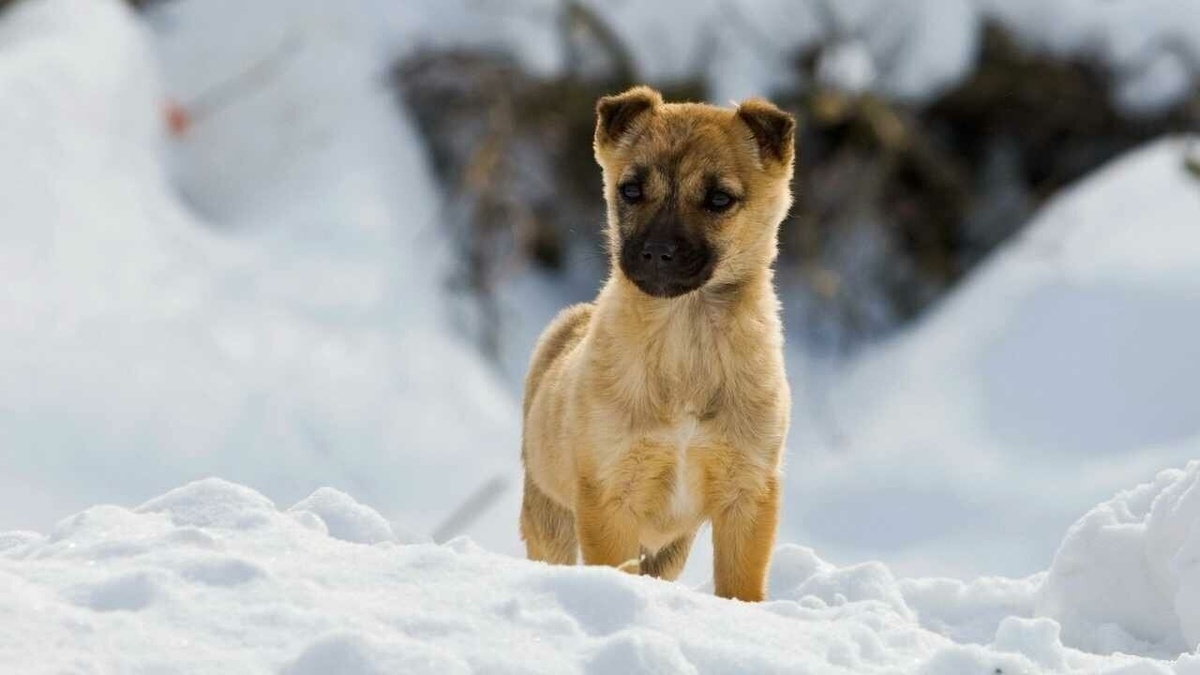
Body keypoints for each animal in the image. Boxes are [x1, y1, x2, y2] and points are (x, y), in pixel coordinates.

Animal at [518, 85, 792, 598]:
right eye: (630, 190)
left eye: (719, 198)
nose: (657, 253)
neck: (685, 342)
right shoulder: (609, 495)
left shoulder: (748, 492)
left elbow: (741, 587)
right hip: (549, 515)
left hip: (669, 550)